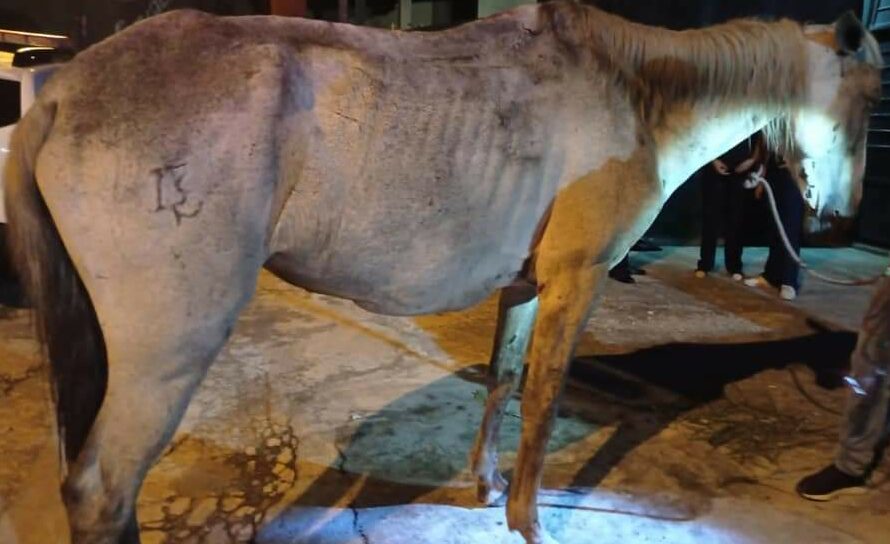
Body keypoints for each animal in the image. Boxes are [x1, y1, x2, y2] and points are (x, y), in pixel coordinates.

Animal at [3, 2, 881, 543]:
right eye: (870, 99)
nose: (841, 215)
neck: (635, 97)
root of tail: (61, 90)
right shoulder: (579, 279)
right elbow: (544, 400)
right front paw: (528, 520)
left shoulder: (527, 286)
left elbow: (503, 381)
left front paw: (486, 487)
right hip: (168, 352)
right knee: (103, 489)